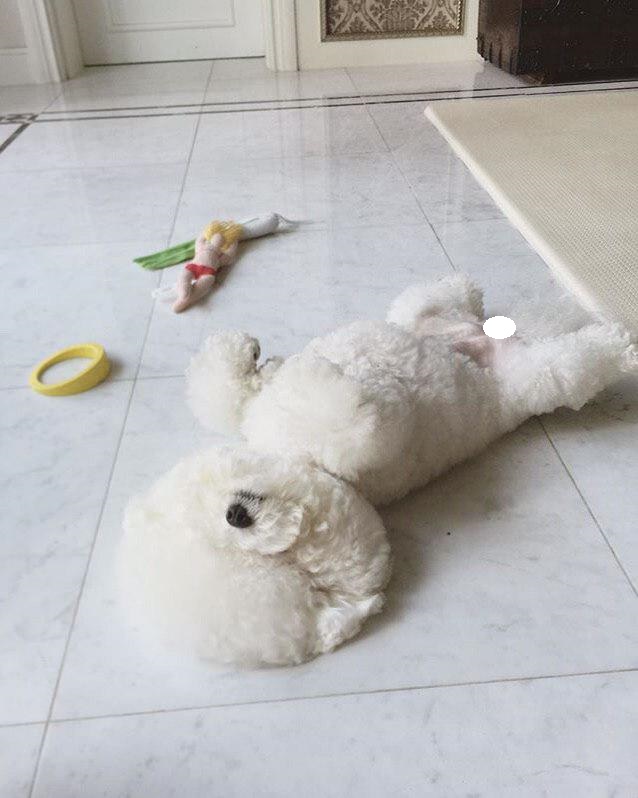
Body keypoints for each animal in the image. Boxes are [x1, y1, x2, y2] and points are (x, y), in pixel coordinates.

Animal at [121, 276, 638, 668]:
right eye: (280, 562)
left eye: (210, 514)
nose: (236, 515)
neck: (300, 458)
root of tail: (485, 339)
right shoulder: (372, 446)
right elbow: (350, 423)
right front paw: (312, 379)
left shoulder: (254, 414)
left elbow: (228, 393)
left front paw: (259, 358)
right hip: (534, 378)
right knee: (571, 364)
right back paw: (619, 345)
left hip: (426, 318)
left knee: (434, 296)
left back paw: (469, 293)